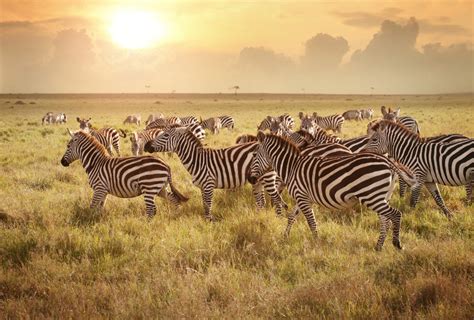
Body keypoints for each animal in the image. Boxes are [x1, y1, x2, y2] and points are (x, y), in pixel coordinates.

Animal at [61, 130, 189, 218]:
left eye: (68, 146)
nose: (62, 162)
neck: (95, 163)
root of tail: (166, 164)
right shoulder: (104, 191)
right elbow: (100, 207)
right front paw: (97, 220)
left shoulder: (99, 188)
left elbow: (92, 206)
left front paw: (89, 220)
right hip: (160, 188)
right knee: (174, 199)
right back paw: (176, 215)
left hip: (149, 187)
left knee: (151, 209)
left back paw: (146, 226)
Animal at [143, 127, 286, 220]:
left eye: (166, 135)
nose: (146, 145)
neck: (197, 160)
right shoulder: (202, 187)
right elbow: (204, 205)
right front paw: (207, 222)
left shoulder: (208, 185)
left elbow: (208, 206)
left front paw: (209, 223)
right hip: (258, 180)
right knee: (262, 202)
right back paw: (258, 218)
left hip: (268, 177)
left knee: (276, 199)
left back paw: (278, 219)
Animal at [248, 131, 414, 251]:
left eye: (254, 155)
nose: (250, 179)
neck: (292, 167)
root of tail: (388, 162)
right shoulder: (302, 198)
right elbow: (291, 217)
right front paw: (285, 236)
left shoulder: (302, 197)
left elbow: (311, 222)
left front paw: (316, 243)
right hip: (381, 196)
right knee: (385, 220)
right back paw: (378, 247)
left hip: (372, 196)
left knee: (395, 214)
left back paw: (397, 243)